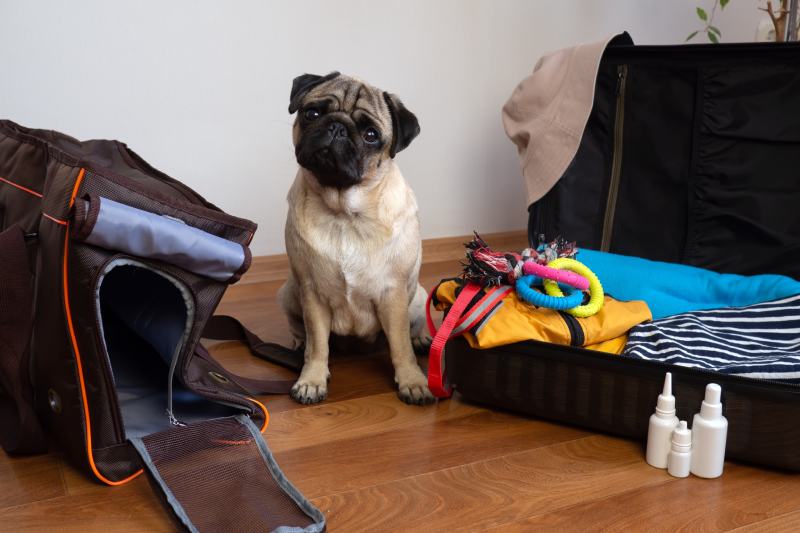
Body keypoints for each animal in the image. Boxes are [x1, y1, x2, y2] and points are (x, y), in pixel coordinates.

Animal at [278, 70, 434, 404]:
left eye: (371, 135)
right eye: (312, 113)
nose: (337, 127)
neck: (345, 214)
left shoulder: (393, 294)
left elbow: (400, 344)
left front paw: (412, 380)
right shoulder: (312, 293)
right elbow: (318, 345)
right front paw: (311, 379)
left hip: (417, 296)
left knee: (413, 329)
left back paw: (422, 339)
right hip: (289, 293)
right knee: (300, 330)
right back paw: (297, 343)